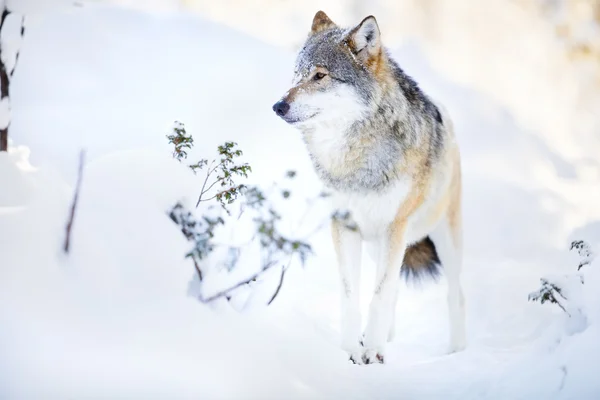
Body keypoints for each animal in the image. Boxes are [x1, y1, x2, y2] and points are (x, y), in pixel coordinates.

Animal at [274, 10, 466, 366]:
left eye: (320, 75)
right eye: (296, 74)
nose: (278, 106)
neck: (354, 161)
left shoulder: (395, 227)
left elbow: (379, 296)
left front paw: (373, 352)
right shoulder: (345, 225)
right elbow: (352, 295)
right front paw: (352, 350)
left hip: (443, 239)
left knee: (455, 294)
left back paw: (458, 352)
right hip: (379, 244)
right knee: (394, 292)